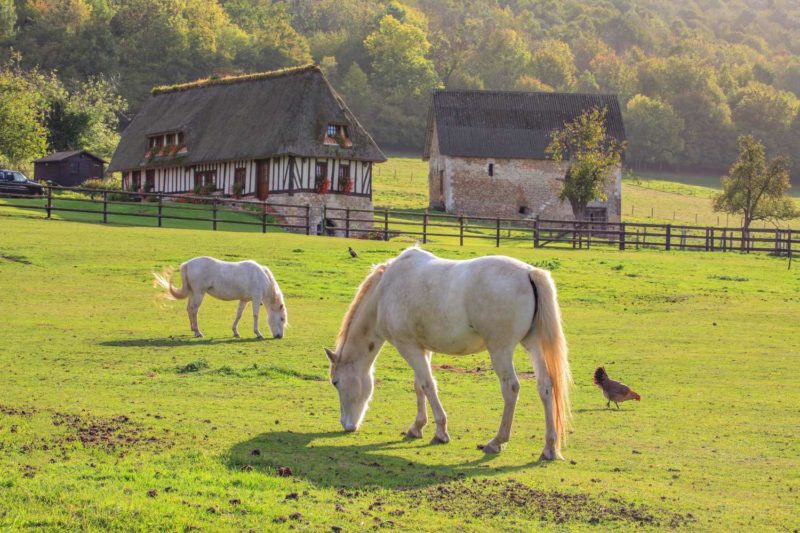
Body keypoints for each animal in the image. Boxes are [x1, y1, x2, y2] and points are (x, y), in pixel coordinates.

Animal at [154, 256, 287, 339]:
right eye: (281, 319)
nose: (279, 336)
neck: (261, 276)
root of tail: (187, 264)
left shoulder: (244, 299)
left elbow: (238, 315)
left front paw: (235, 332)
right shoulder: (256, 298)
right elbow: (255, 315)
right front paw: (258, 333)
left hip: (193, 293)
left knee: (189, 309)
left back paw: (193, 329)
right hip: (199, 293)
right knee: (194, 310)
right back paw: (198, 332)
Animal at [324, 246, 571, 460]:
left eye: (336, 382)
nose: (346, 425)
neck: (384, 291)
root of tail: (529, 273)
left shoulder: (408, 346)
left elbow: (427, 385)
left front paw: (440, 432)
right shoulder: (422, 348)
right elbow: (419, 385)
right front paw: (417, 427)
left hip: (500, 350)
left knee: (511, 388)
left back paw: (496, 442)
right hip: (533, 345)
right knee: (545, 387)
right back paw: (549, 447)